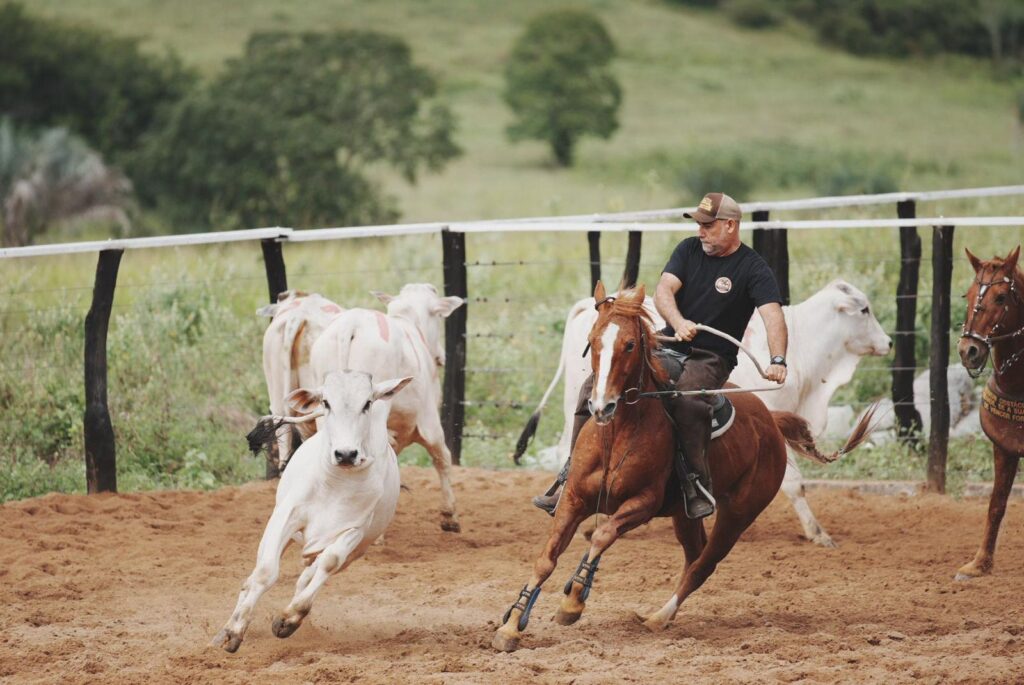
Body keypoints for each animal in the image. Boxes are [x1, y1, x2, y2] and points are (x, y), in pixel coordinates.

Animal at [211, 368, 411, 651]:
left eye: (367, 403)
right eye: (326, 402)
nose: (346, 454)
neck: (336, 484)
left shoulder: (353, 532)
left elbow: (328, 564)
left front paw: (288, 619)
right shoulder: (286, 517)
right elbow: (265, 572)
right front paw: (233, 632)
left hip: (353, 551)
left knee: (307, 576)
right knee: (254, 576)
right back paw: (224, 630)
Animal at [491, 282, 876, 651]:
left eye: (630, 344)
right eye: (593, 339)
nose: (601, 406)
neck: (616, 435)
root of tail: (770, 418)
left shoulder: (642, 504)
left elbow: (603, 535)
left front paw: (572, 602)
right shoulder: (573, 500)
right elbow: (546, 558)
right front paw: (511, 626)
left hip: (739, 513)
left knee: (705, 564)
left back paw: (658, 618)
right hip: (684, 514)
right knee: (694, 554)